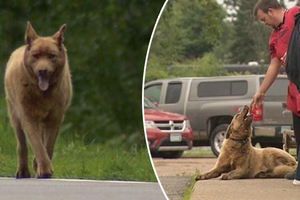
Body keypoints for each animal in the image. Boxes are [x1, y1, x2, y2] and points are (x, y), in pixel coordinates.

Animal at [4, 22, 72, 178]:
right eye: (35, 56)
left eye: (52, 56)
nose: (42, 70)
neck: (43, 94)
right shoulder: (27, 116)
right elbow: (37, 144)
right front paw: (44, 169)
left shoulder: (55, 118)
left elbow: (48, 145)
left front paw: (41, 166)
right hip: (14, 115)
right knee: (22, 145)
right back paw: (22, 171)